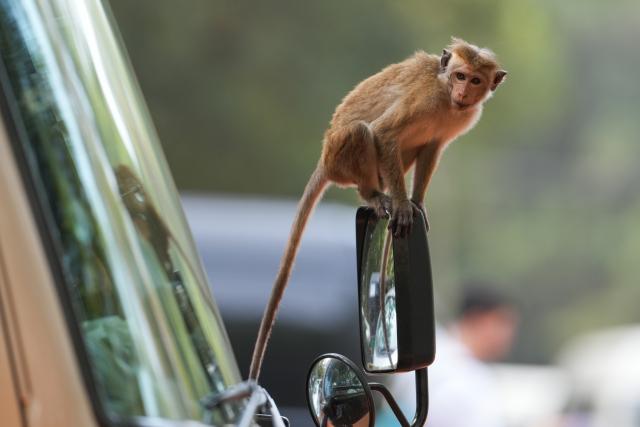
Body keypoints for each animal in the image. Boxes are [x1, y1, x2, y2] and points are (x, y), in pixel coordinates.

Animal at [249, 37, 507, 380]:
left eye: (476, 80)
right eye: (460, 76)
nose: (463, 93)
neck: (447, 99)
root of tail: (324, 160)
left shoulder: (460, 119)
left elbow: (432, 147)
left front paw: (417, 202)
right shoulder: (423, 99)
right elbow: (384, 133)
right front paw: (402, 204)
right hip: (340, 156)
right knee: (362, 132)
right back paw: (373, 195)